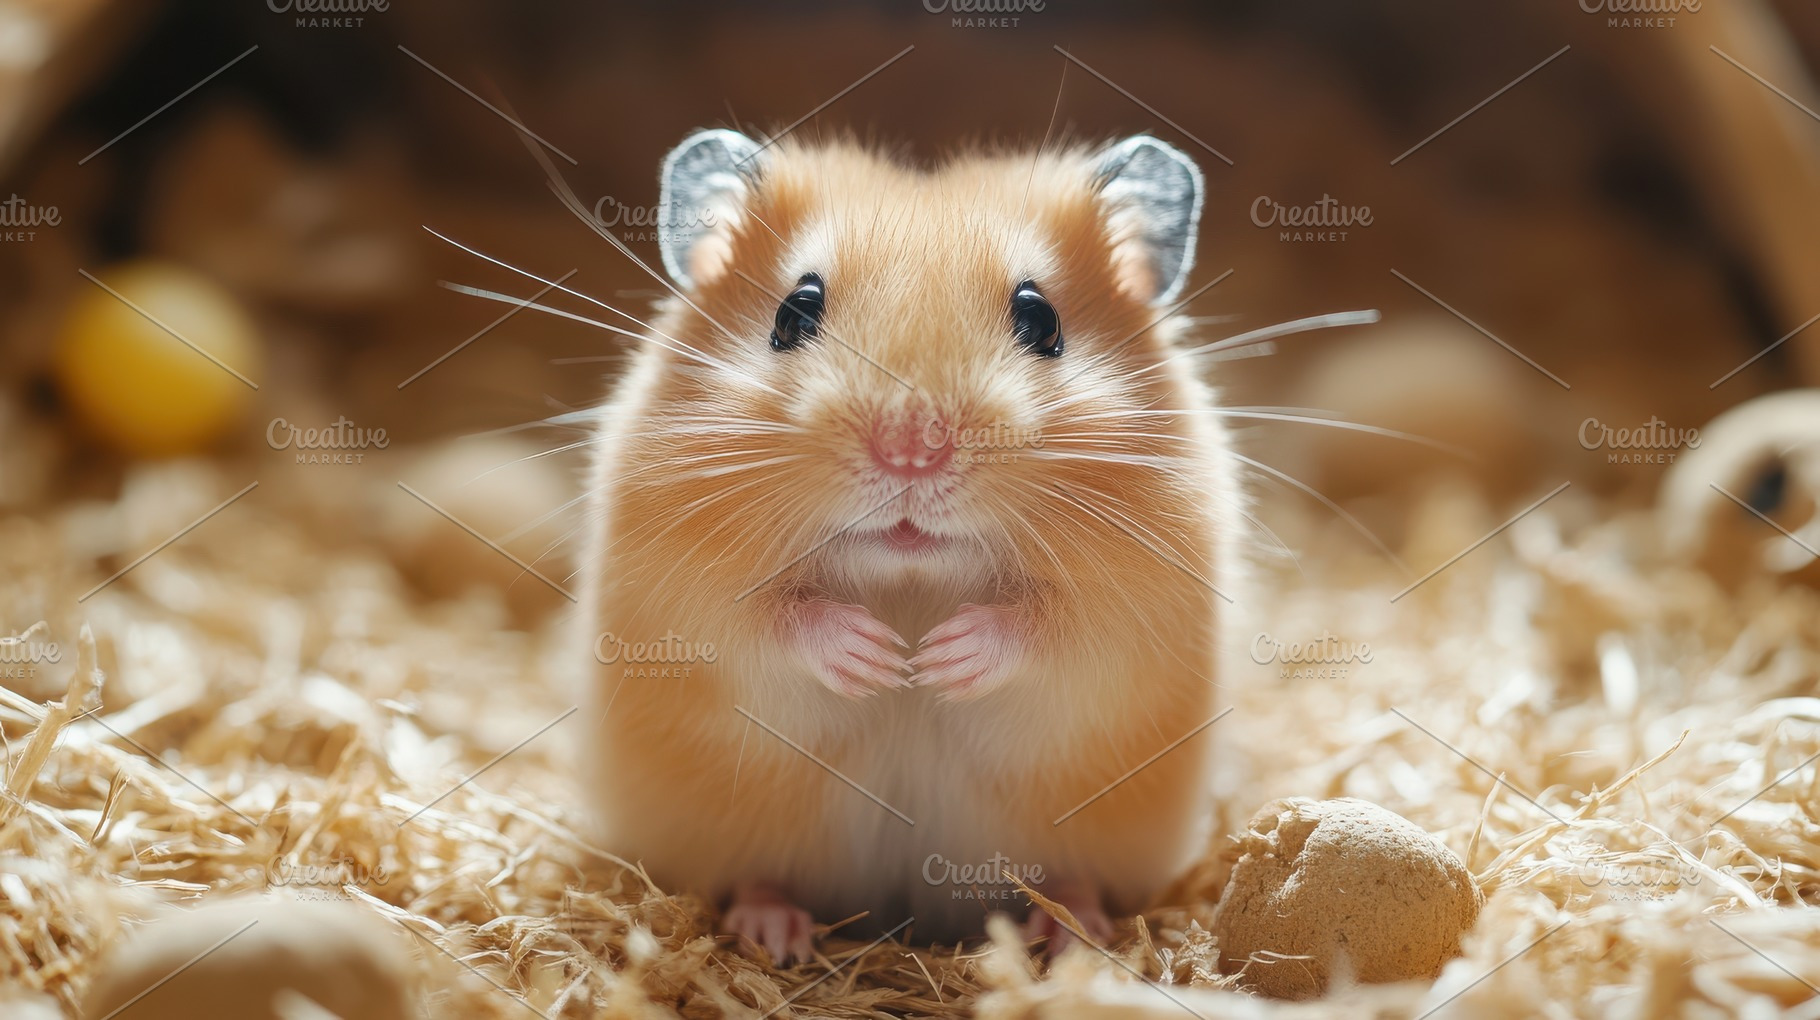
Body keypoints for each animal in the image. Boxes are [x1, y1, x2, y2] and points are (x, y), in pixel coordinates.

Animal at [577, 128, 1238, 962]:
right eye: (795, 312)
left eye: (1042, 320)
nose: (911, 453)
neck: (912, 578)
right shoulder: (682, 592)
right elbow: (763, 620)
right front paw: (883, 659)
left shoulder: (1142, 601)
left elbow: (1055, 629)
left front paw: (939, 660)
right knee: (756, 877)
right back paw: (776, 934)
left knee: (1072, 880)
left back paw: (1067, 932)